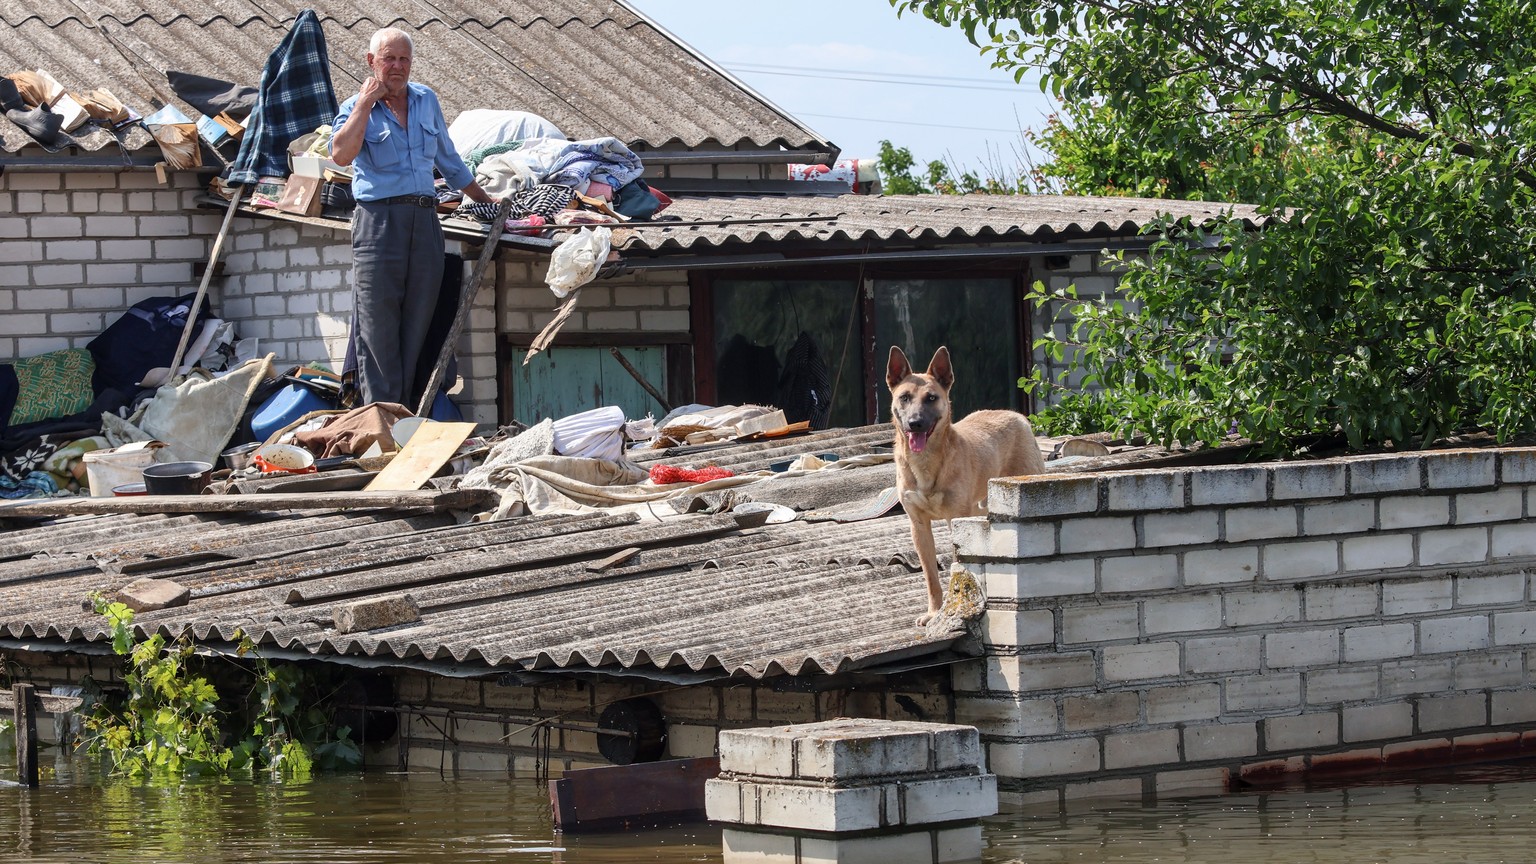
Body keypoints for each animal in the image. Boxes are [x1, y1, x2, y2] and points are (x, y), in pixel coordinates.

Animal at [884, 342, 1050, 618]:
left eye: (931, 398)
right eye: (904, 397)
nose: (915, 423)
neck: (926, 463)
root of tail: (1015, 414)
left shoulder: (956, 519)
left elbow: (955, 567)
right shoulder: (919, 526)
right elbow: (930, 576)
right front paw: (934, 613)